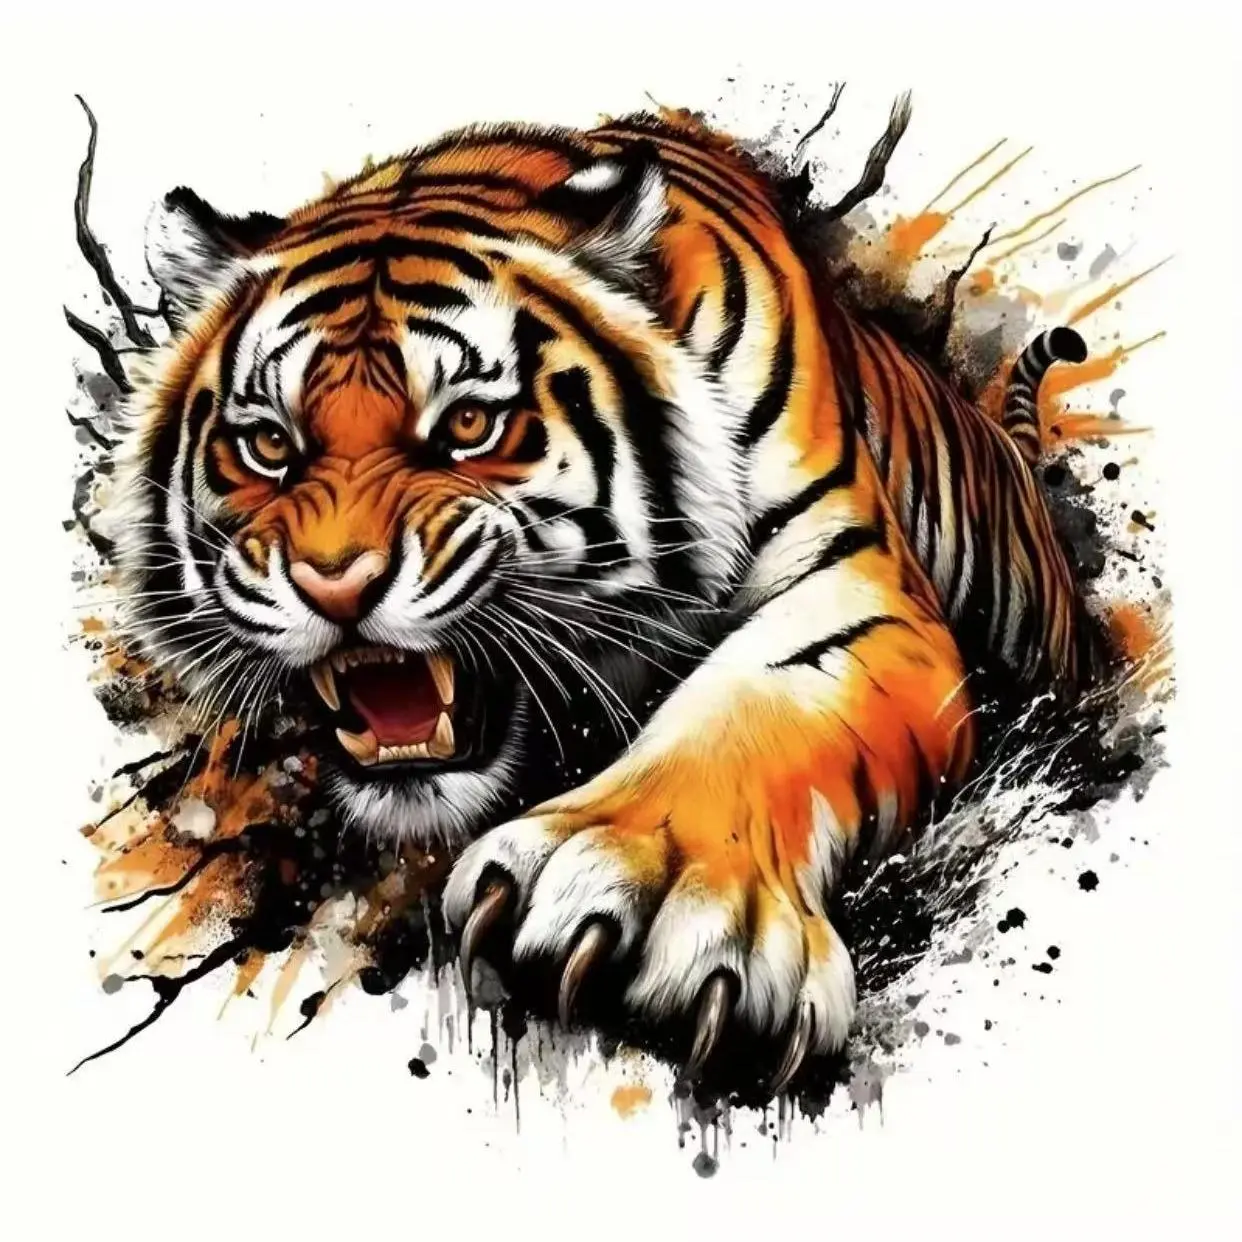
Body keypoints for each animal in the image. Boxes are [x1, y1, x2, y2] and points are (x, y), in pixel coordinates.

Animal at [116, 107, 1105, 1091]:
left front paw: (651, 882)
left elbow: (758, 702)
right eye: (268, 444)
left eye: (469, 425)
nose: (336, 582)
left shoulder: (856, 582)